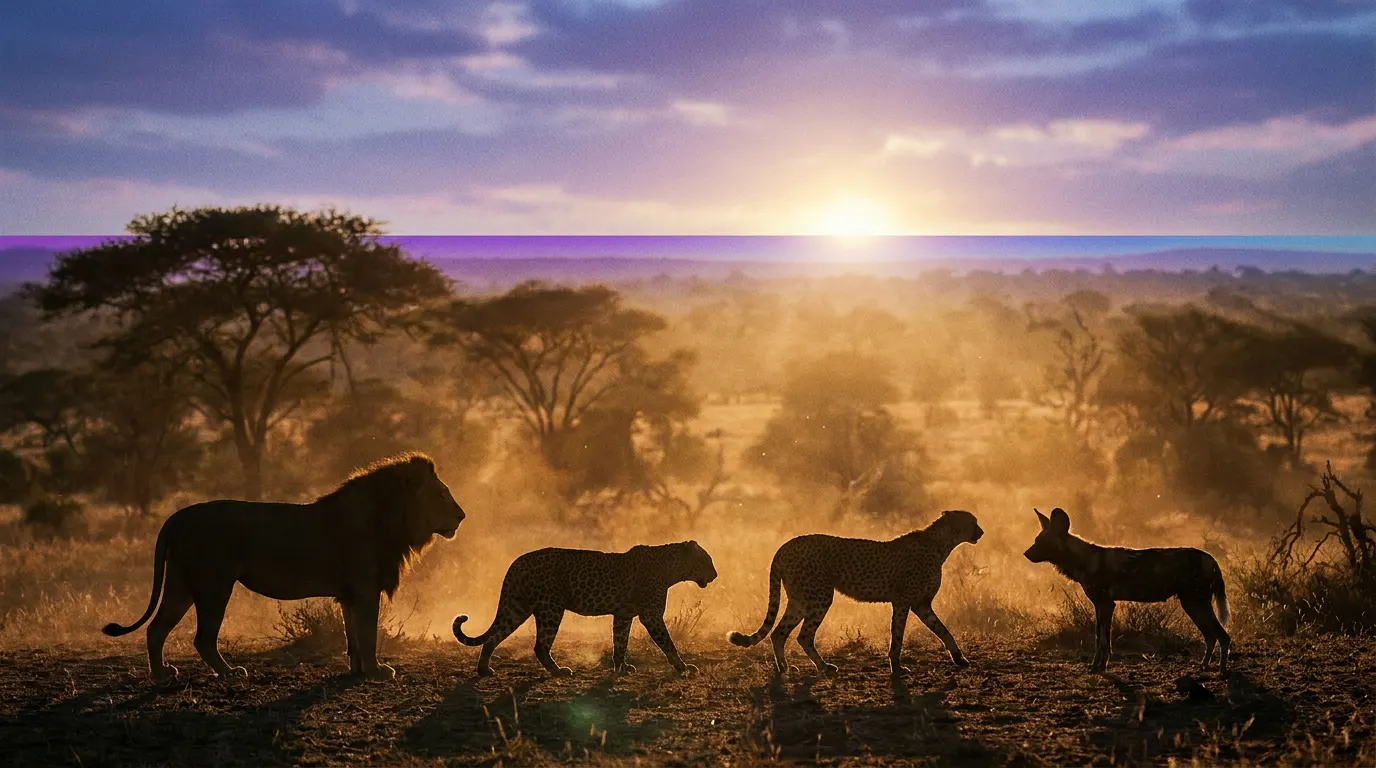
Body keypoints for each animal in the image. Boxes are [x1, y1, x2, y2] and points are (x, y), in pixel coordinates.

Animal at [103, 453, 465, 683]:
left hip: (181, 583)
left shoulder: (349, 594)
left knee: (156, 629)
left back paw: (162, 675)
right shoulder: (365, 589)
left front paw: (358, 672)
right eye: (442, 495)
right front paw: (378, 672)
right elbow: (368, 634)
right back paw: (230, 674)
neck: (393, 519)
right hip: (214, 585)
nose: (462, 516)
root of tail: (176, 517)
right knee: (203, 638)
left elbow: (353, 636)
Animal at [452, 541, 717, 677]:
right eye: (707, 560)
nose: (715, 575)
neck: (671, 568)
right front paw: (683, 667)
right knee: (539, 646)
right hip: (550, 609)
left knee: (493, 637)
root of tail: (517, 562)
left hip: (516, 607)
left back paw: (484, 670)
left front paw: (621, 668)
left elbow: (620, 643)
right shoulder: (650, 615)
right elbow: (668, 643)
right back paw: (559, 671)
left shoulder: (623, 615)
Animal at [729, 510, 984, 677]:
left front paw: (960, 659)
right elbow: (898, 636)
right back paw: (824, 668)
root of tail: (785, 545)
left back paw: (784, 668)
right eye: (972, 521)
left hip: (800, 599)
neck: (942, 543)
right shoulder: (903, 601)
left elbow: (943, 630)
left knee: (778, 633)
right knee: (803, 636)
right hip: (820, 597)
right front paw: (897, 668)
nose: (981, 531)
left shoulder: (922, 604)